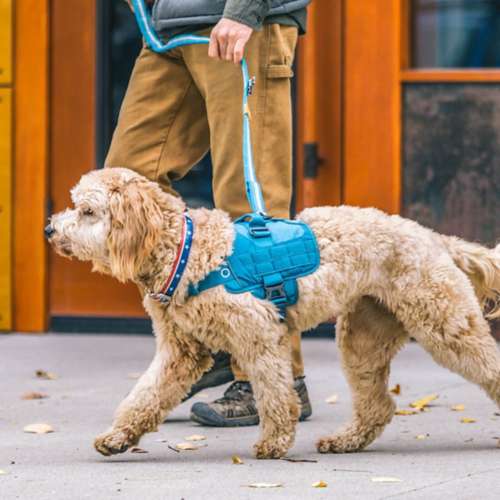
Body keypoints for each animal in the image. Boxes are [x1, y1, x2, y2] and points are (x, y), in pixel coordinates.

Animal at [47, 167, 500, 458]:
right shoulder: (181, 352)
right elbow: (144, 395)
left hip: (446, 324)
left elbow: (276, 392)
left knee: (487, 365)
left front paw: (275, 442)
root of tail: (432, 237)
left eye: (87, 211)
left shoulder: (258, 334)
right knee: (378, 406)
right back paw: (347, 441)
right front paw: (118, 436)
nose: (49, 229)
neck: (186, 249)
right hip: (363, 339)